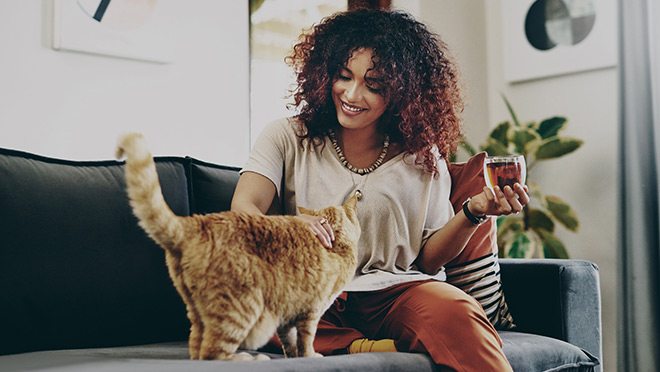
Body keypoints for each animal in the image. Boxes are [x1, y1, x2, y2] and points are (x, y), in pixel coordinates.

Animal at [116, 133, 358, 360]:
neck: (336, 246)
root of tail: (197, 222)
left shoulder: (287, 312)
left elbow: (289, 341)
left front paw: (294, 357)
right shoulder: (311, 310)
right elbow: (306, 339)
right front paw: (309, 356)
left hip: (197, 312)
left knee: (197, 349)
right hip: (241, 307)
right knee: (212, 353)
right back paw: (250, 359)